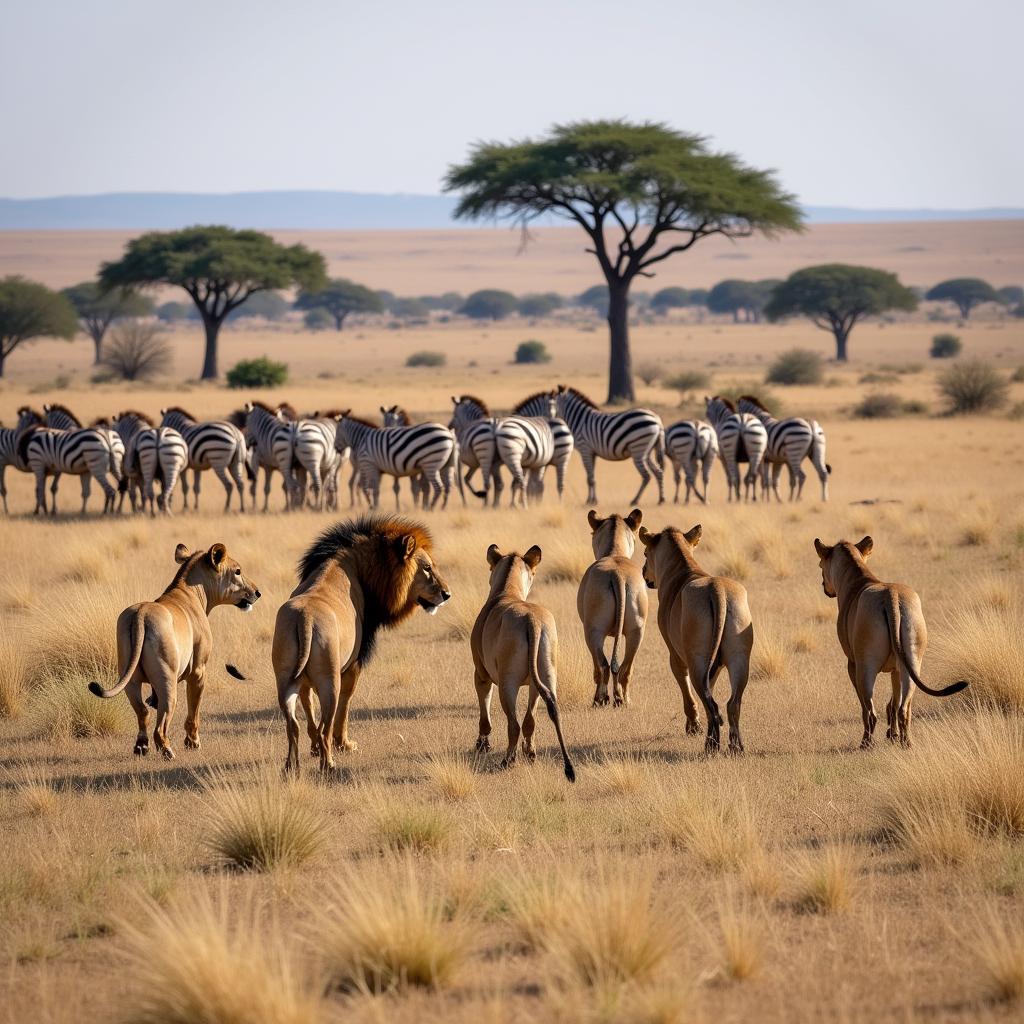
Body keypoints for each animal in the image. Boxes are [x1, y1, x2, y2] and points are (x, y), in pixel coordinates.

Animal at [272, 516, 452, 770]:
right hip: (330, 680)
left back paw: (291, 767)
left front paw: (314, 748)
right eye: (427, 567)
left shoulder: (305, 682)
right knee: (327, 724)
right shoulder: (354, 663)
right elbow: (345, 705)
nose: (447, 594)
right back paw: (329, 763)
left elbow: (309, 712)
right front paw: (344, 744)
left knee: (293, 725)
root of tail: (304, 618)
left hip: (285, 680)